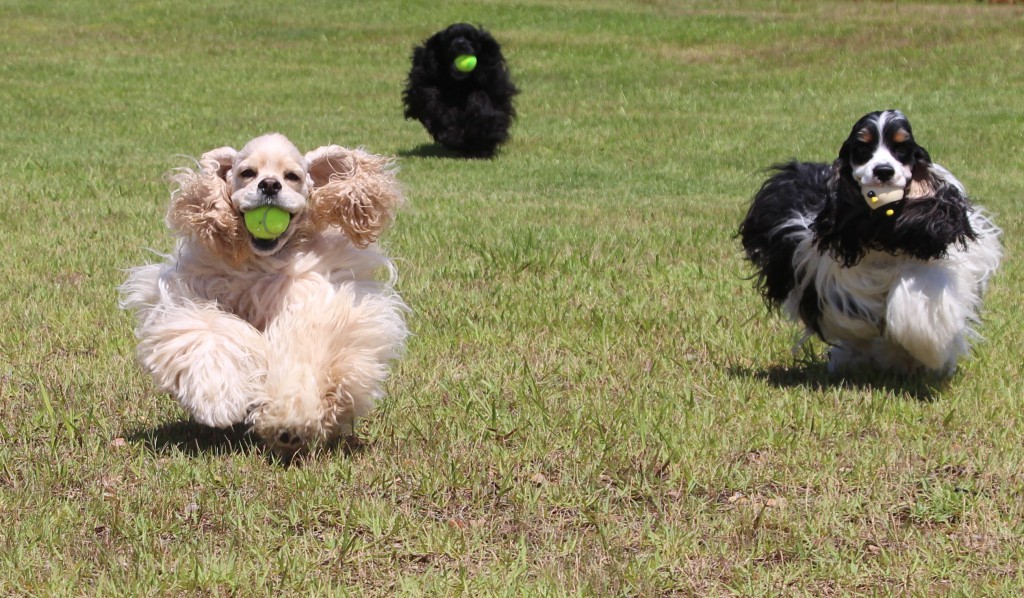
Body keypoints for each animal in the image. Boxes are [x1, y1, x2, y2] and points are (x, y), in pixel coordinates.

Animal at [119, 134, 407, 452]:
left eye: (292, 176)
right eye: (247, 173)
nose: (269, 185)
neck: (264, 260)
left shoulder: (313, 299)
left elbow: (300, 350)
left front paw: (290, 419)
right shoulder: (193, 291)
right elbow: (209, 332)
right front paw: (217, 398)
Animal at [401, 24, 520, 157]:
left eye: (470, 38)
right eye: (450, 38)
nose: (460, 43)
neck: (459, 82)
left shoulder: (494, 85)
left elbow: (484, 103)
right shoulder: (424, 84)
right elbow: (434, 105)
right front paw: (452, 134)